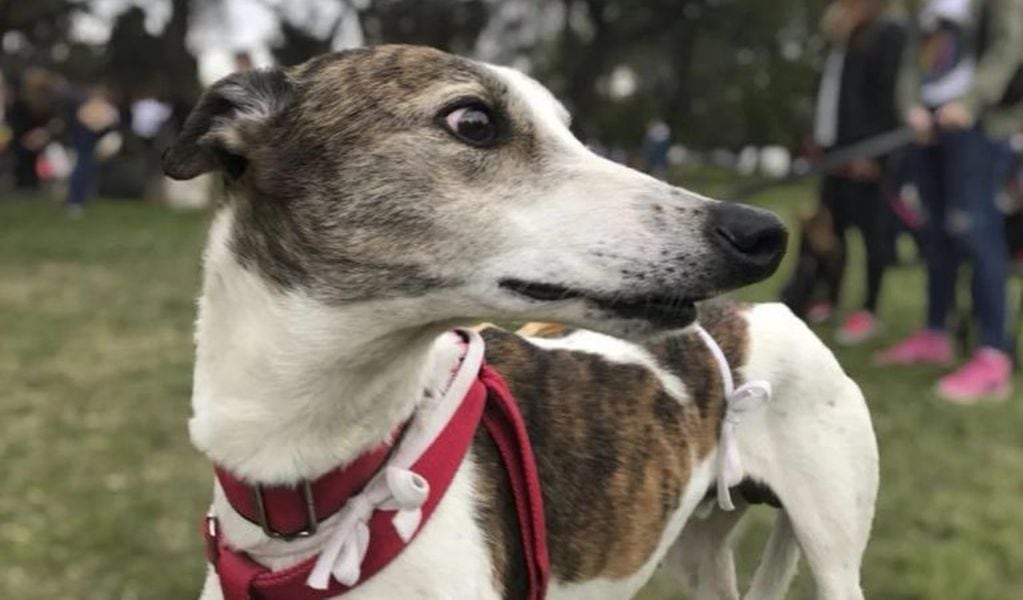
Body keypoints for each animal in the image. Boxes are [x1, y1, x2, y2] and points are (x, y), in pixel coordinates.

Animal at [165, 44, 879, 596]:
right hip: (697, 546)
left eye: (569, 129)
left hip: (834, 552)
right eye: (474, 120)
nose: (762, 234)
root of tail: (768, 310)